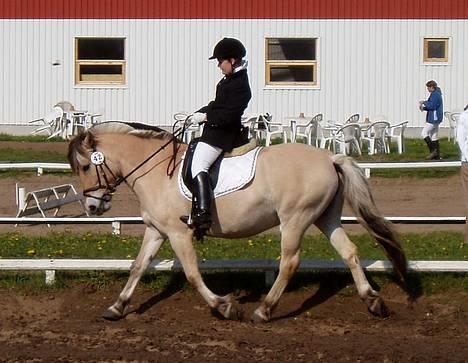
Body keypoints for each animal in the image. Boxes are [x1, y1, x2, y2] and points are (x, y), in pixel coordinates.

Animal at [67, 123, 408, 324]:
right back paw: (373, 302)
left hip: (295, 219)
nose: (94, 207)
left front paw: (224, 306)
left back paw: (264, 311)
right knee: (349, 252)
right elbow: (137, 267)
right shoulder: (156, 231)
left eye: (85, 166)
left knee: (289, 262)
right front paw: (117, 307)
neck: (155, 170)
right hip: (325, 218)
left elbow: (192, 273)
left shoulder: (177, 233)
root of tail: (329, 158)